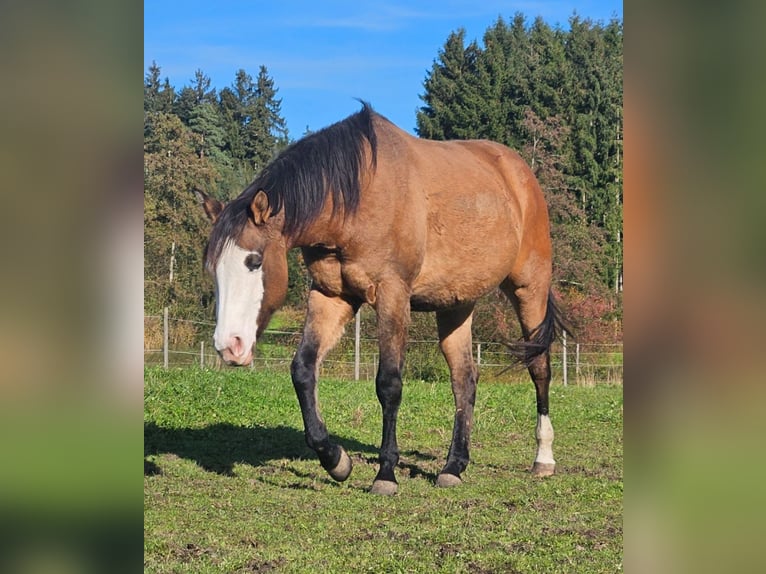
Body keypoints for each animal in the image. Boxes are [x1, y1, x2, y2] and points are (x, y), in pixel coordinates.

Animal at [196, 102, 566, 495]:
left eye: (254, 261)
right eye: (213, 269)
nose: (229, 346)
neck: (355, 200)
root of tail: (519, 174)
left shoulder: (392, 294)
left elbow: (389, 384)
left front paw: (385, 473)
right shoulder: (331, 295)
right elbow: (303, 370)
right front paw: (336, 460)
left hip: (529, 288)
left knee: (539, 367)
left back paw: (543, 458)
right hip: (456, 302)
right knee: (464, 379)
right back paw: (454, 465)